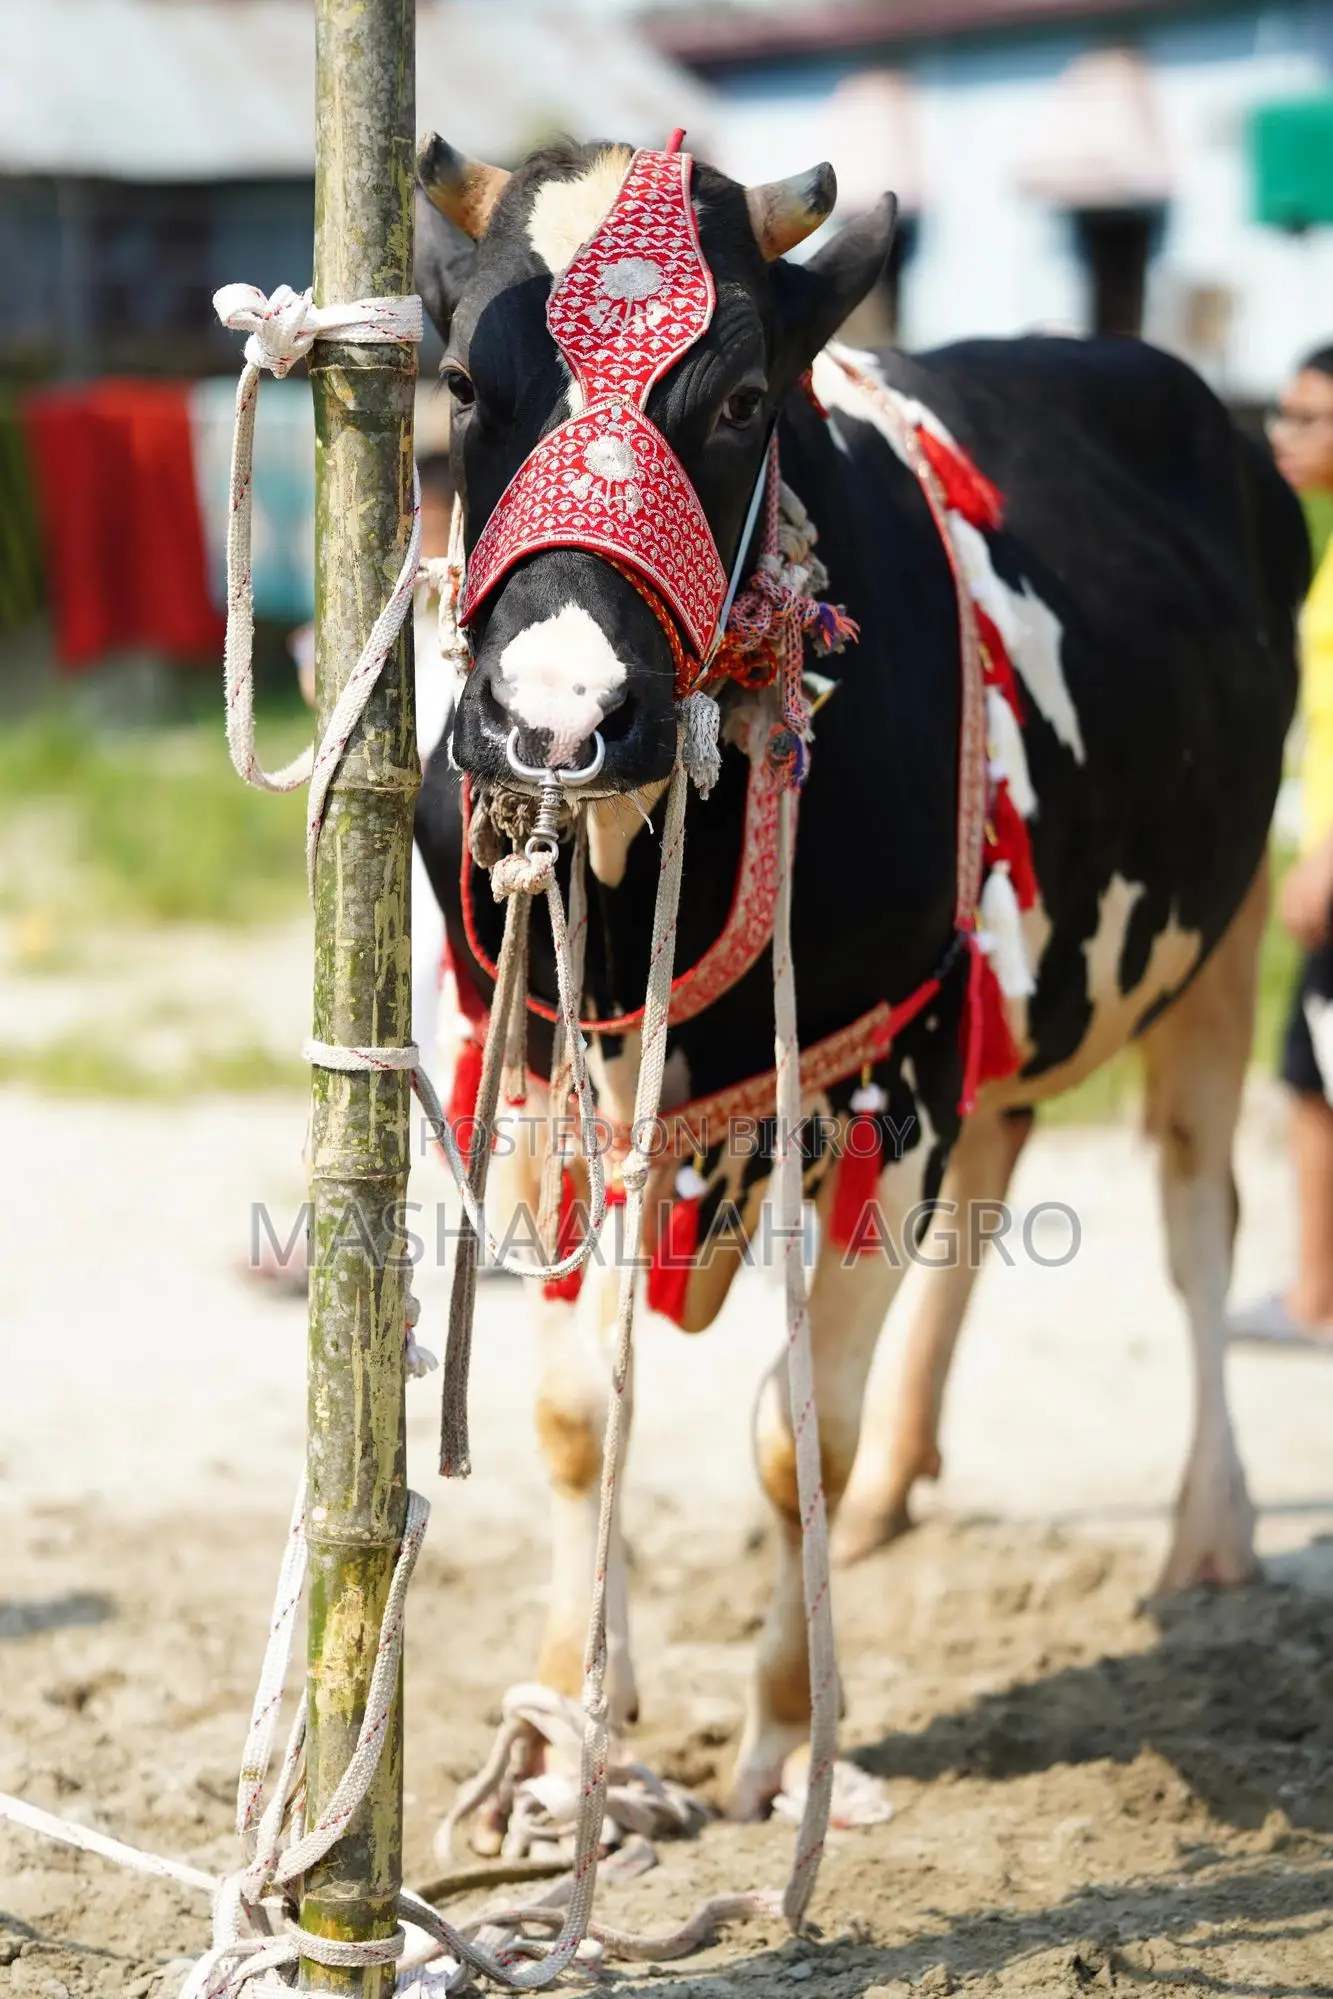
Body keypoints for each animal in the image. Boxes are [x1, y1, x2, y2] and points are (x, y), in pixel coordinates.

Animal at [411, 135, 1306, 1822]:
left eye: (741, 400)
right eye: (463, 386)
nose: (555, 718)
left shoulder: (890, 1072)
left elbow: (788, 1434)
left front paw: (780, 1732)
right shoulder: (554, 1070)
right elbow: (578, 1412)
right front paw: (567, 1726)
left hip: (1214, 942)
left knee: (1196, 1219)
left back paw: (1210, 1528)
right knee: (1000, 1185)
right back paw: (898, 1486)